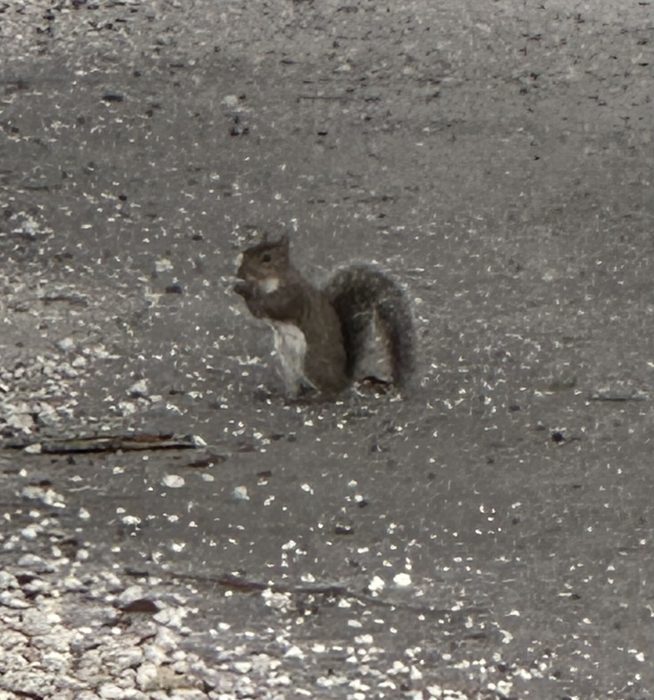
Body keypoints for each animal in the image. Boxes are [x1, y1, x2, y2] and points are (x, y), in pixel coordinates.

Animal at [233, 234, 416, 397]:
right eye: (247, 251)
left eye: (267, 258)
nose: (240, 273)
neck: (272, 281)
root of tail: (344, 379)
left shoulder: (292, 297)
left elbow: (268, 307)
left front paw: (244, 290)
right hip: (288, 364)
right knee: (296, 384)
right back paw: (287, 396)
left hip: (311, 361)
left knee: (331, 390)